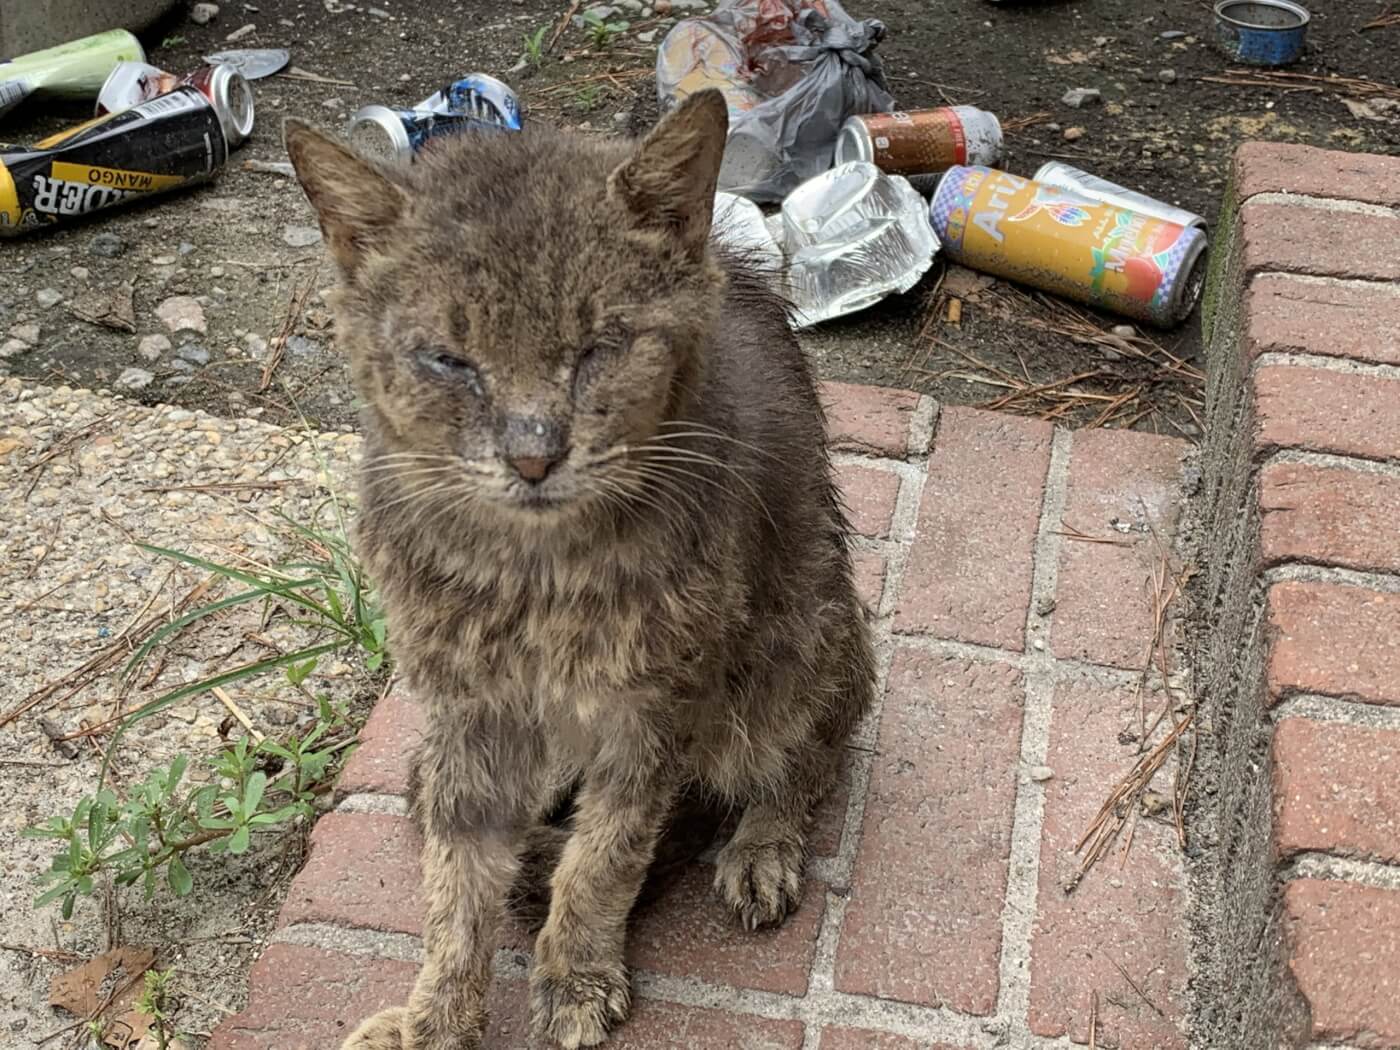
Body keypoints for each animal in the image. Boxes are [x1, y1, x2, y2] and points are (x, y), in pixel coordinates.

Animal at [284, 92, 873, 1050]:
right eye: (449, 360)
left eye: (599, 347)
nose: (533, 455)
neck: (535, 579)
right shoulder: (466, 708)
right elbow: (455, 883)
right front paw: (435, 1016)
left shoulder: (653, 708)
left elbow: (608, 855)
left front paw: (576, 976)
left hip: (803, 635)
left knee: (814, 751)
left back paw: (761, 845)